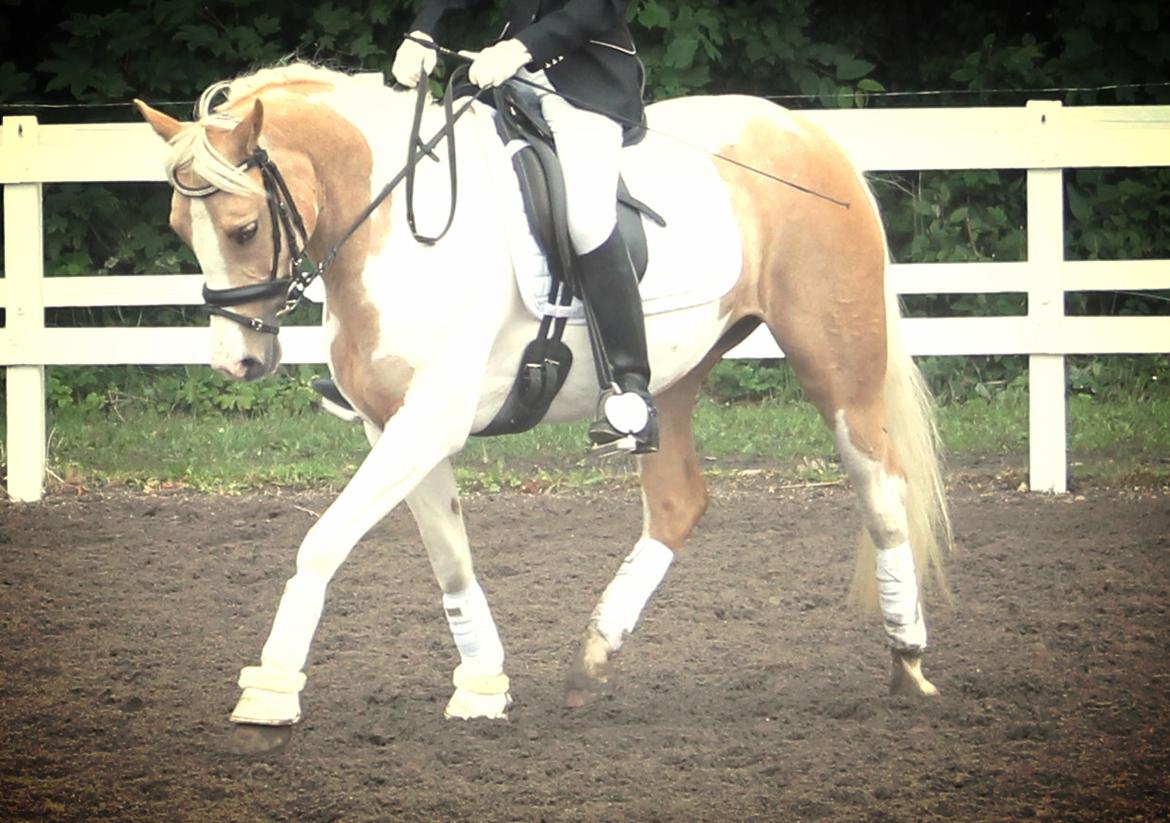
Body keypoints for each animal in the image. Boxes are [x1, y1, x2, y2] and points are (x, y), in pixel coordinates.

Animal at [134, 61, 951, 740]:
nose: (238, 362)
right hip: (672, 379)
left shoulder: (428, 421)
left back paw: (909, 657)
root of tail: (804, 131)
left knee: (882, 487)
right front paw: (482, 684)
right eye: (177, 227)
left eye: (244, 228)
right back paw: (593, 656)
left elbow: (322, 541)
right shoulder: (391, 426)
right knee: (679, 502)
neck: (396, 231)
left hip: (837, 366)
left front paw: (268, 689)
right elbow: (450, 559)